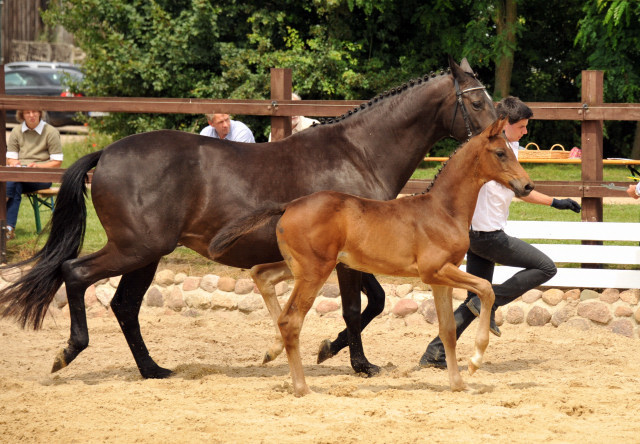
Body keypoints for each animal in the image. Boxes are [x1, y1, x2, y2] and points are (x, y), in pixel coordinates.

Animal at [210, 119, 528, 396]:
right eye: (500, 153)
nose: (526, 186)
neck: (442, 210)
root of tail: (290, 205)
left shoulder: (440, 279)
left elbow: (448, 329)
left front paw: (459, 384)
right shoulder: (435, 270)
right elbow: (486, 290)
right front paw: (475, 361)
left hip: (303, 266)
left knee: (261, 275)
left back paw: (273, 350)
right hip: (315, 271)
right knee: (290, 320)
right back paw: (302, 388)